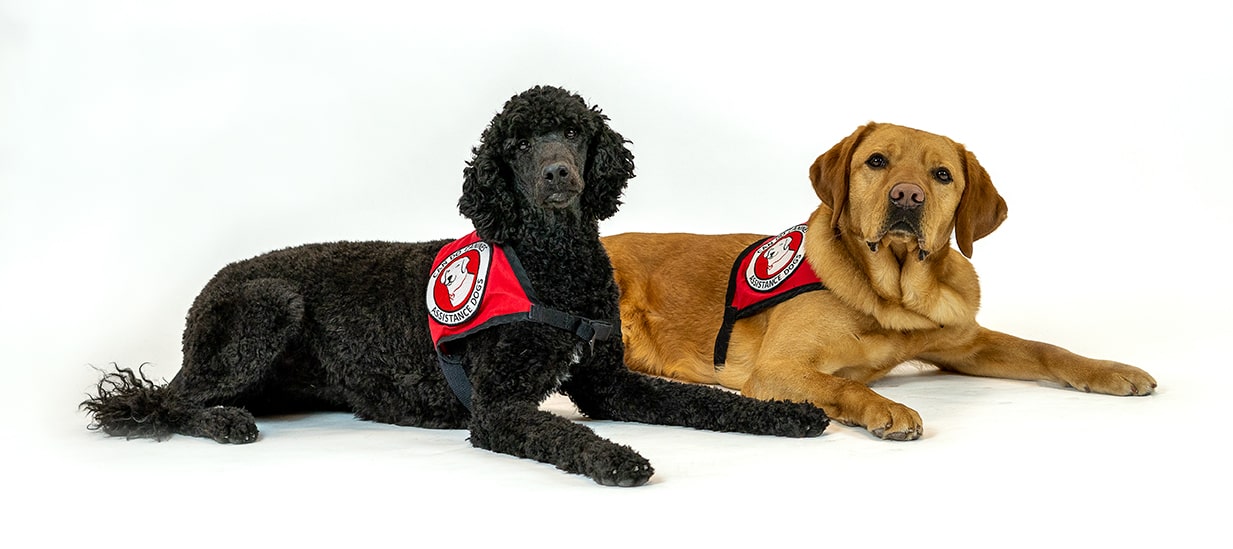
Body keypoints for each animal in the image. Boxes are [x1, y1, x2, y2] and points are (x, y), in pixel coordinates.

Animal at [79, 84, 828, 483]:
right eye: (518, 144)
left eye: (574, 133)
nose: (557, 173)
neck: (551, 264)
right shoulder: (498, 408)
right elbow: (566, 436)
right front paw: (616, 457)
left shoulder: (607, 381)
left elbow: (704, 400)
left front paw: (783, 414)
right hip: (268, 301)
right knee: (173, 399)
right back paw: (224, 420)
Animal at [606, 122, 1154, 439]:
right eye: (876, 161)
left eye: (941, 175)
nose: (907, 196)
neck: (894, 293)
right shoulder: (778, 369)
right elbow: (841, 383)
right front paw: (883, 408)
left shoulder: (965, 344)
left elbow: (1045, 348)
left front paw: (1110, 370)